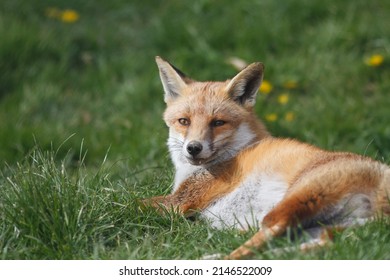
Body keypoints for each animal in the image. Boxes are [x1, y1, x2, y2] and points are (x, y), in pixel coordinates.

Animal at [144, 57, 390, 260]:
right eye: (184, 121)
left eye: (218, 123)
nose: (193, 148)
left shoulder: (180, 202)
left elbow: (136, 203)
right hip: (325, 227)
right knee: (317, 247)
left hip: (296, 200)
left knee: (268, 233)